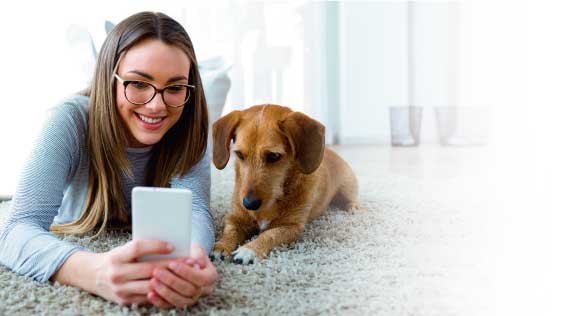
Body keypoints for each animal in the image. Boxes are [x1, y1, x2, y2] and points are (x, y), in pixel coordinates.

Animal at [209, 104, 356, 264]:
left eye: (273, 156)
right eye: (239, 154)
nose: (249, 204)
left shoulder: (291, 227)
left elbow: (270, 235)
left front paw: (249, 249)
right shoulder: (236, 218)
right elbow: (230, 231)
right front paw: (221, 246)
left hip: (347, 189)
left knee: (352, 200)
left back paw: (352, 209)